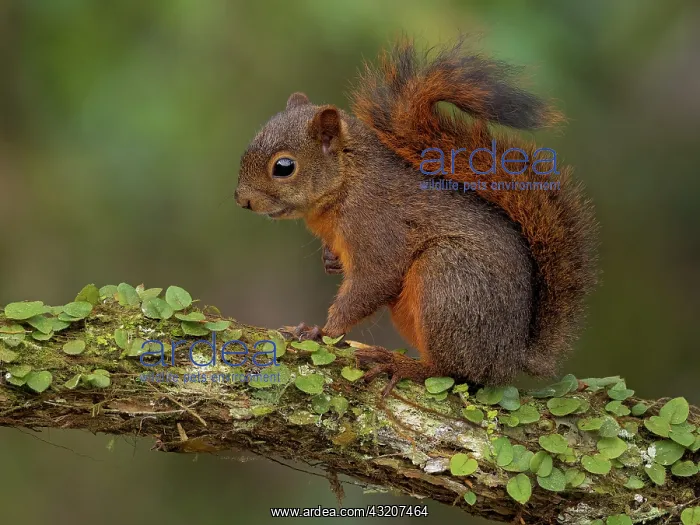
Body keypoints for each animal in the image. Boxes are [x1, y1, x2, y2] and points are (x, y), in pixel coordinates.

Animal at [235, 37, 598, 395]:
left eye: (284, 167)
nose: (241, 200)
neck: (348, 182)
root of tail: (510, 356)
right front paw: (330, 261)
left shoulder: (378, 226)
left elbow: (374, 281)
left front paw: (321, 331)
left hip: (448, 281)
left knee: (451, 371)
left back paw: (401, 365)